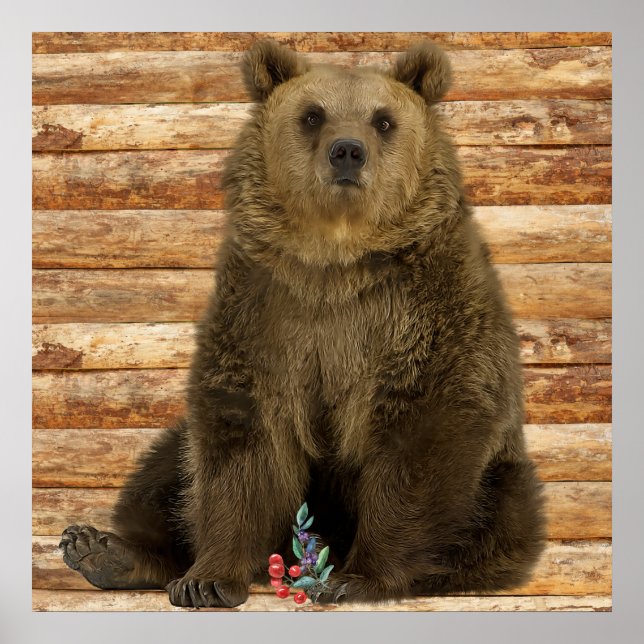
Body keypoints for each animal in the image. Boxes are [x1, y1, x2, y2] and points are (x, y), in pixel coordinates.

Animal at [59, 39, 546, 608]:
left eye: (383, 120)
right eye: (313, 115)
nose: (347, 151)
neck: (334, 260)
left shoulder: (425, 307)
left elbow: (423, 430)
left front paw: (355, 578)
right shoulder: (265, 310)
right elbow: (241, 440)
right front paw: (206, 579)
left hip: (501, 481)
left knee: (497, 517)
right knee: (165, 467)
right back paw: (102, 550)